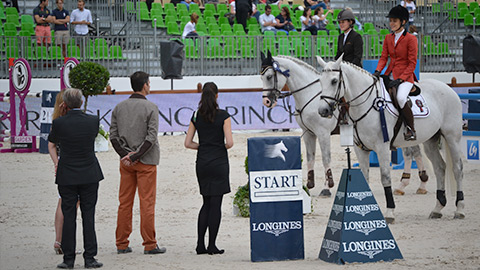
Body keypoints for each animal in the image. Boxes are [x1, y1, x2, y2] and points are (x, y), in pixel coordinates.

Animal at [262, 52, 338, 196]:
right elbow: (310, 158)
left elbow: (326, 159)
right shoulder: (308, 133)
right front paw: (309, 186)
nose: (266, 102)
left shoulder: (323, 133)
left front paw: (327, 188)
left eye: (269, 76)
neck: (311, 95)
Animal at [316, 55, 464, 224]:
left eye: (334, 81)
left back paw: (459, 209)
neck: (366, 104)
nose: (323, 110)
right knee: (440, 168)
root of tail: (448, 88)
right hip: (431, 141)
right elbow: (365, 178)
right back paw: (437, 209)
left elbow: (385, 178)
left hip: (452, 137)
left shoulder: (382, 147)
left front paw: (390, 212)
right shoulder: (360, 149)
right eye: (320, 81)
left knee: (457, 169)